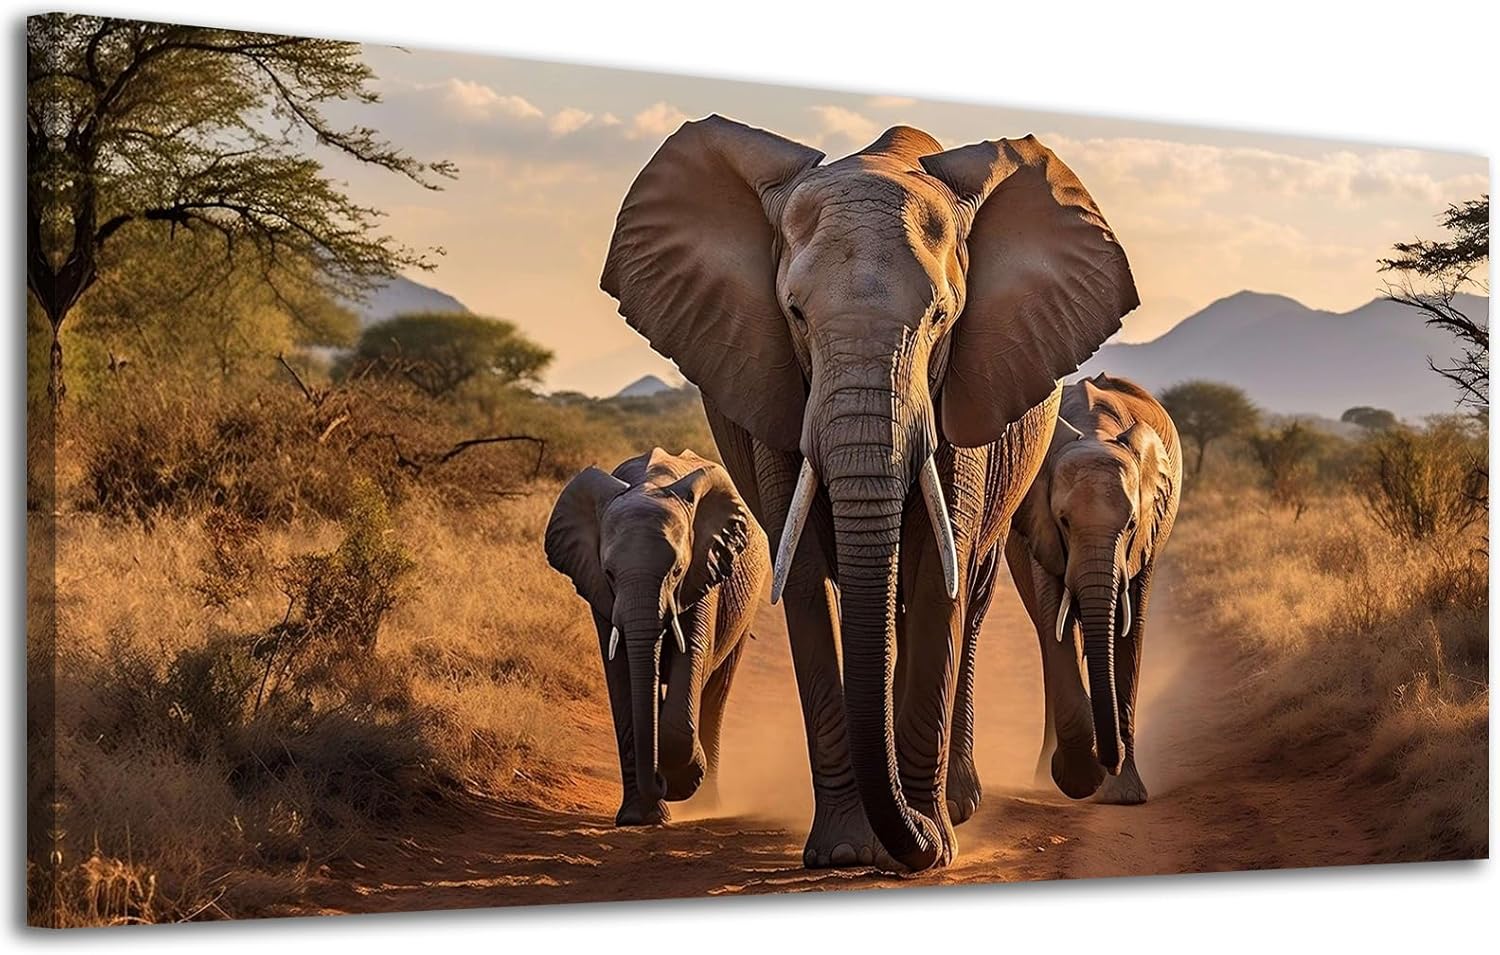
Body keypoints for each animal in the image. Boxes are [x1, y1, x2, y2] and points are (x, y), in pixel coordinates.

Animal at [544, 448, 768, 826]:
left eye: (677, 571)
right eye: (609, 573)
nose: (659, 780)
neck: (650, 485)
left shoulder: (704, 568)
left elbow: (692, 656)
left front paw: (679, 781)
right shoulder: (599, 590)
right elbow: (620, 672)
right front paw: (639, 818)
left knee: (716, 692)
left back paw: (706, 806)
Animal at [601, 116, 1137, 871]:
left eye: (941, 317)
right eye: (795, 313)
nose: (908, 845)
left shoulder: (967, 385)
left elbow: (936, 572)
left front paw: (929, 845)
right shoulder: (773, 384)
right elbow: (806, 582)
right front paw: (844, 850)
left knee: (966, 592)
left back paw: (955, 806)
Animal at [1009, 373, 1181, 805]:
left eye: (1132, 524)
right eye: (1064, 521)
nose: (1110, 759)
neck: (1094, 432)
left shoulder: (1146, 540)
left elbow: (1129, 629)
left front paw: (1125, 795)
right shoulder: (1040, 524)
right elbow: (1054, 620)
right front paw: (1079, 780)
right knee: (1046, 633)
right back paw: (1046, 777)